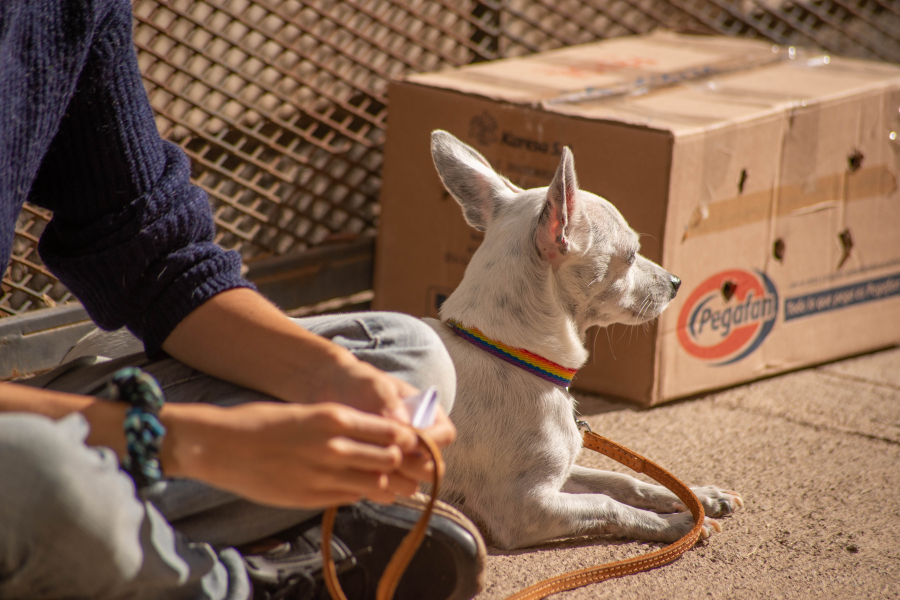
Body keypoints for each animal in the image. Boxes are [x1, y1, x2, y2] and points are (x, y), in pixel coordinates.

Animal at [426, 132, 740, 552]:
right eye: (632, 255)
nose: (676, 281)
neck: (509, 354)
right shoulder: (525, 506)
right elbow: (607, 503)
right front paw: (678, 524)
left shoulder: (562, 472)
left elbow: (621, 481)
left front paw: (698, 497)